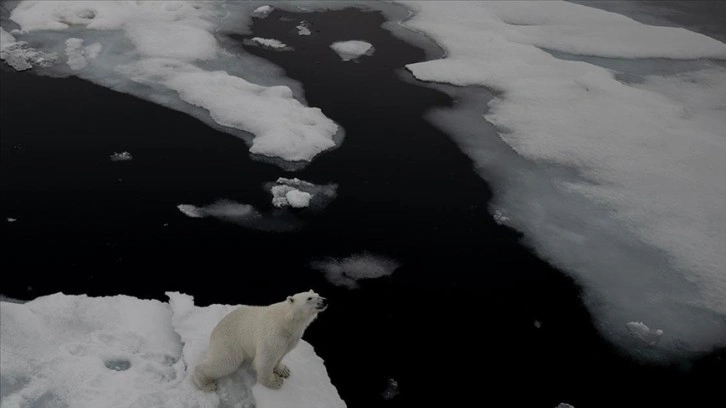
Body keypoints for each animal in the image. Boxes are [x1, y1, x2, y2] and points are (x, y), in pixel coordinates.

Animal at [193, 290, 330, 392]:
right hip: (229, 342)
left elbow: (281, 354)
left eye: (318, 294)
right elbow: (266, 359)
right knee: (225, 362)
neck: (287, 321)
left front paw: (283, 370)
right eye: (309, 298)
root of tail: (214, 332)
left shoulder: (291, 338)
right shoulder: (273, 332)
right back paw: (206, 384)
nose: (325, 300)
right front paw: (275, 382)